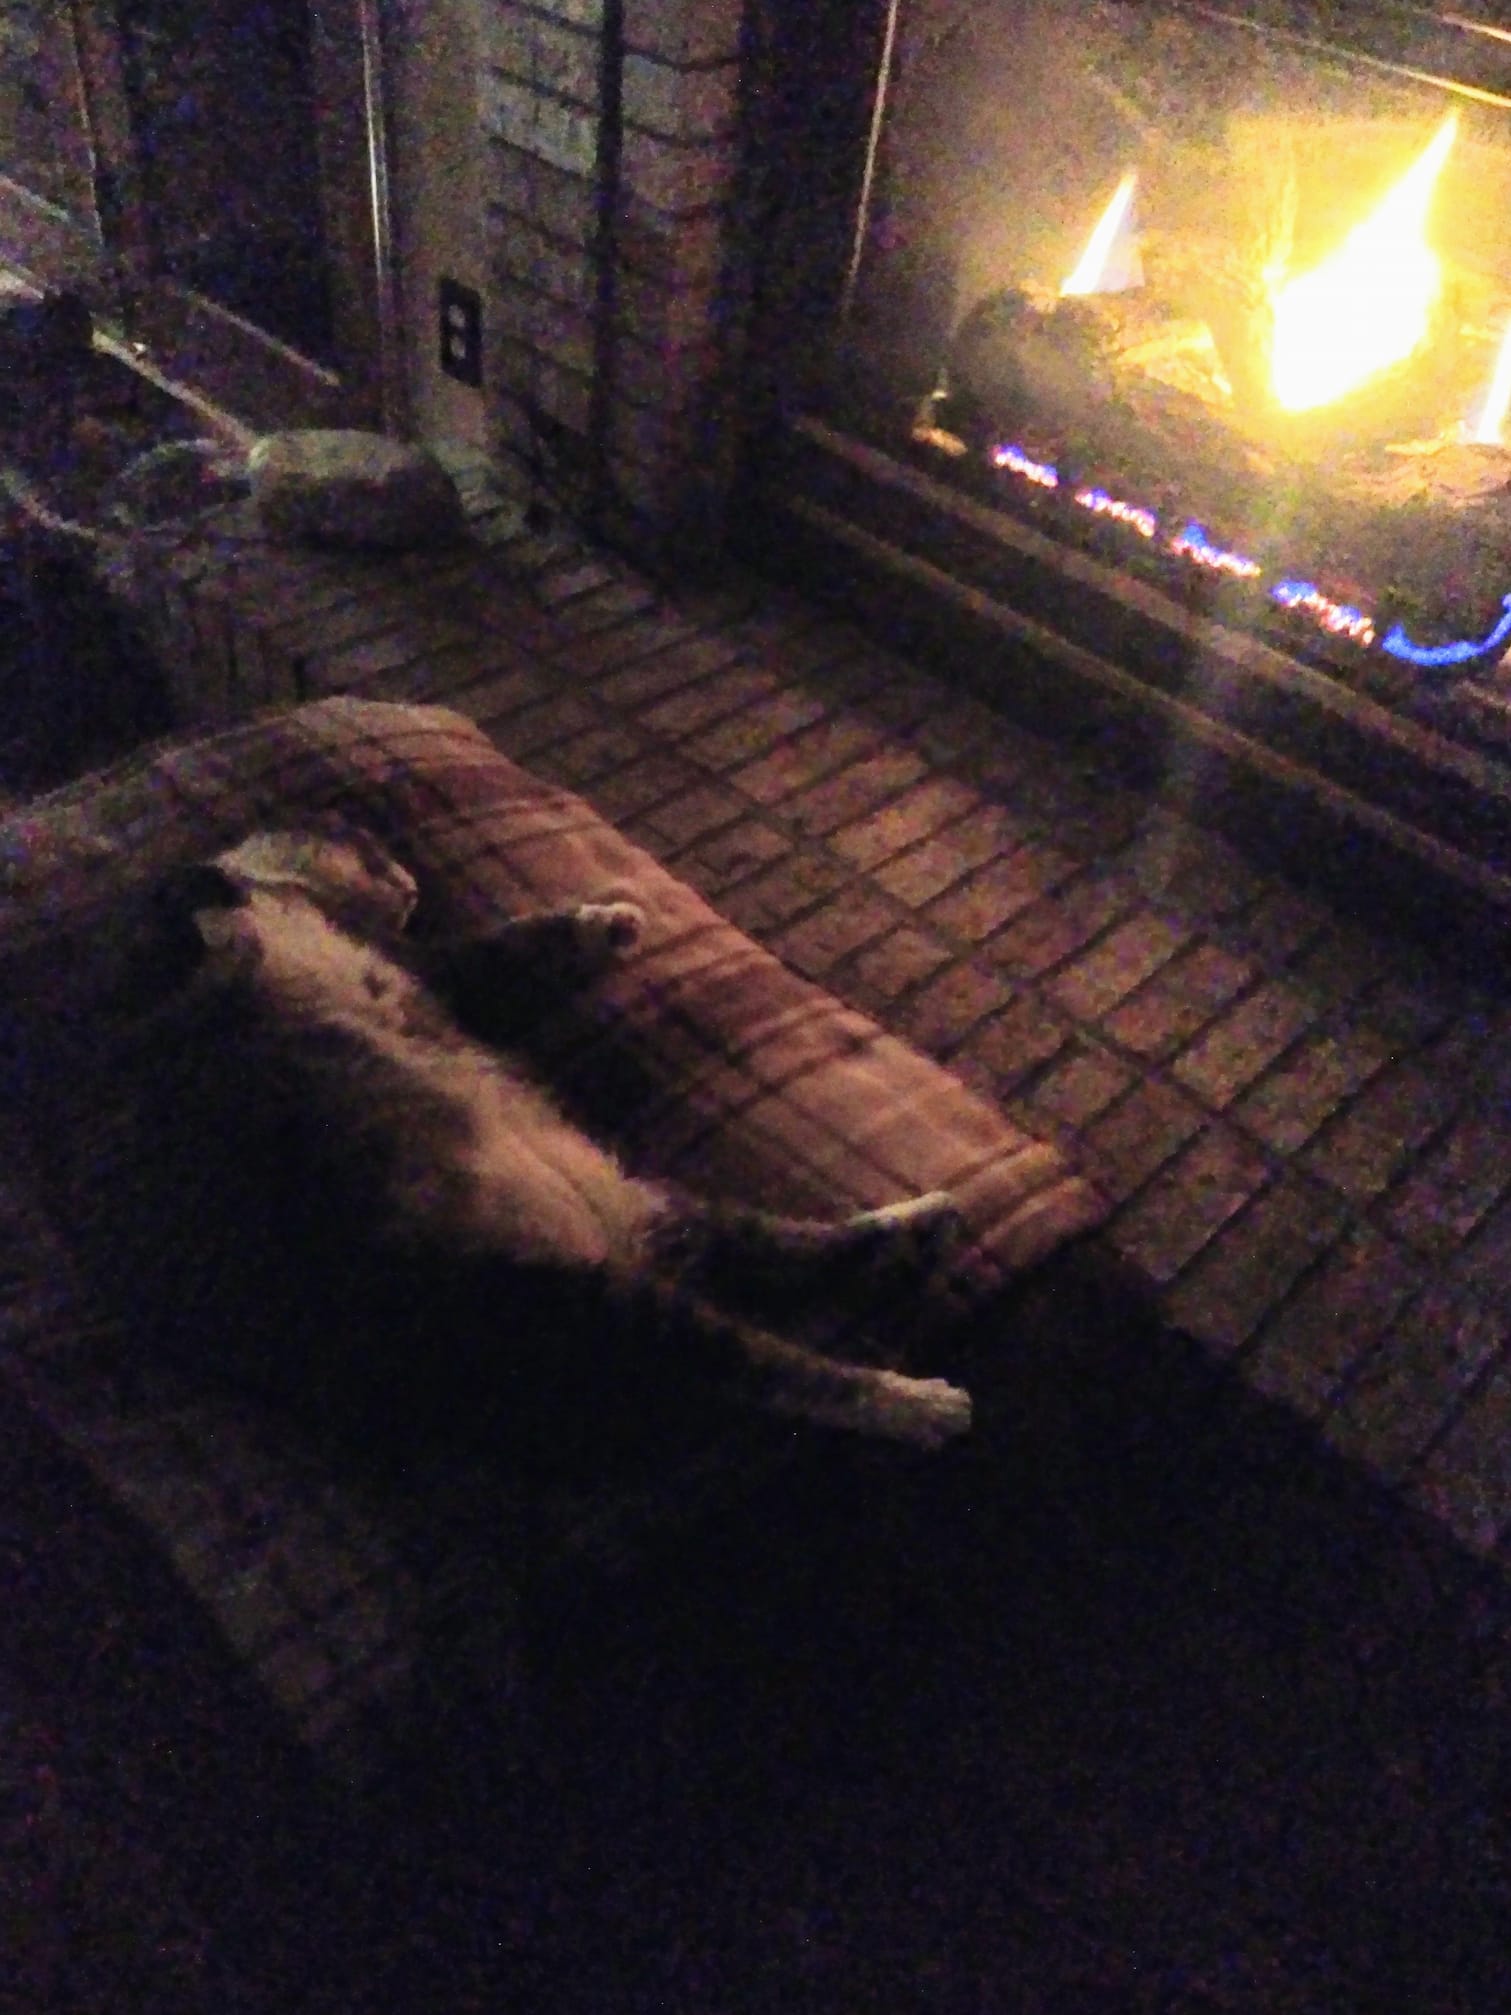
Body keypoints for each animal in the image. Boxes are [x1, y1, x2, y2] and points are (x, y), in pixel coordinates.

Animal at [113, 822, 974, 1458]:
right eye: (372, 846)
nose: (413, 878)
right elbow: (180, 926)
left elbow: (509, 943)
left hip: (644, 1212)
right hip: (590, 1299)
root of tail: (612, 1244)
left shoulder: (429, 965)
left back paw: (923, 1219)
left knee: (786, 1252)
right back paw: (922, 1401)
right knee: (778, 1364)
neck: (278, 896)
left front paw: (610, 920)